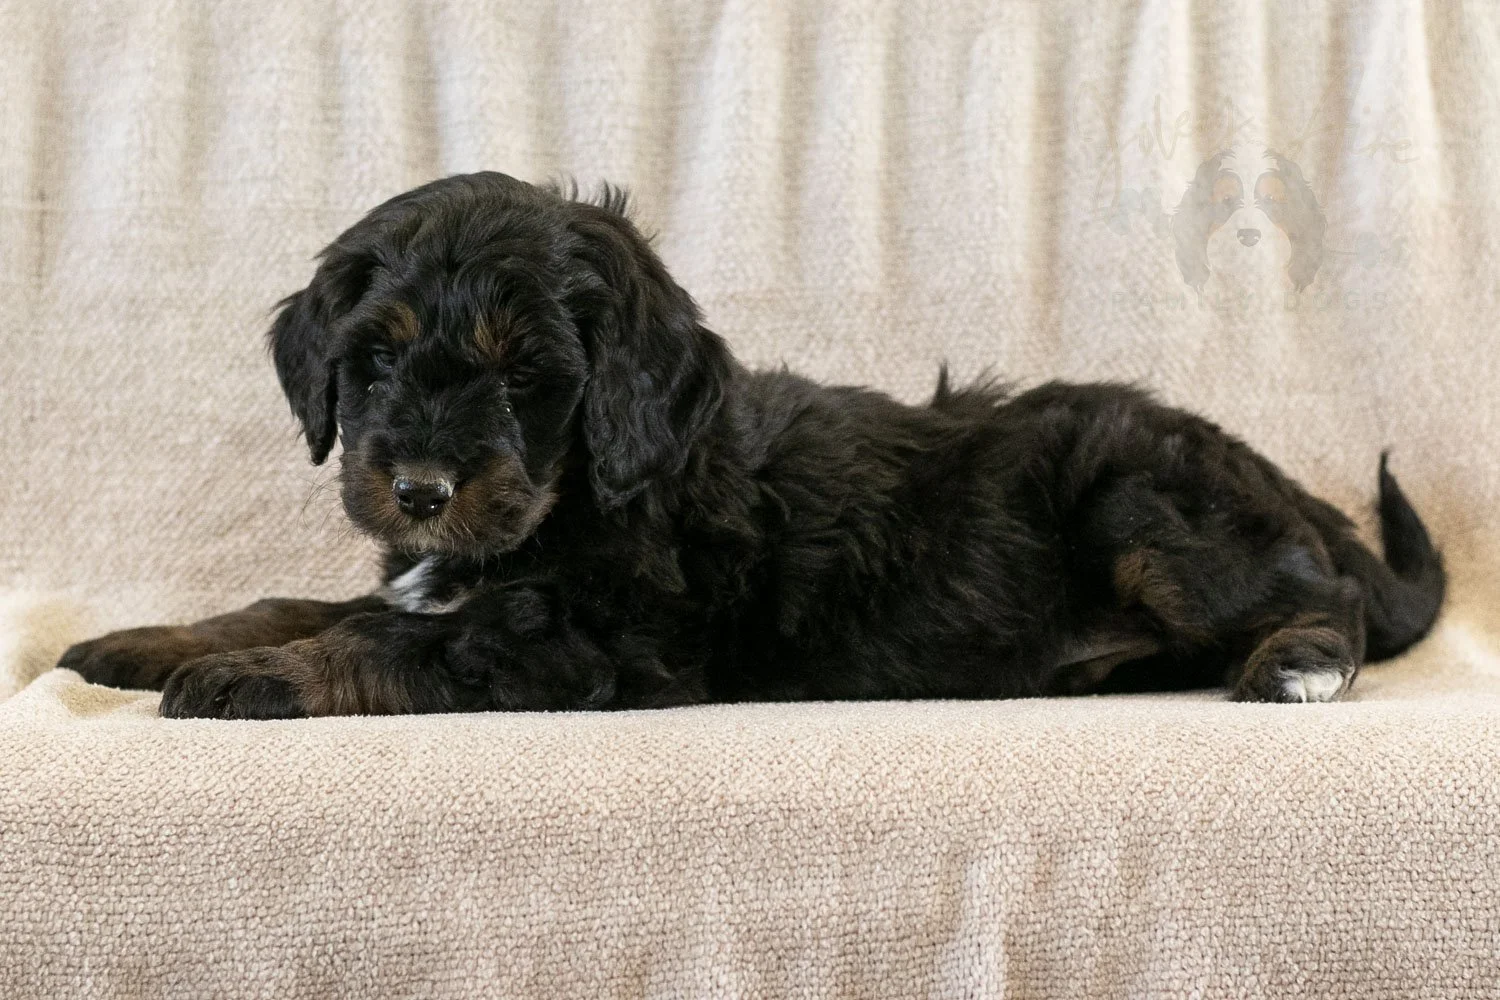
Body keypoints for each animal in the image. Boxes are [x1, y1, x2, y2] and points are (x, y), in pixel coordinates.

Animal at [58, 172, 1444, 719]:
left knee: (1329, 603)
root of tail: (1290, 487)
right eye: (379, 356)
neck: (584, 493)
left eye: (527, 377)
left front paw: (254, 678)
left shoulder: (587, 644)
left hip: (1146, 512)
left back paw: (1298, 662)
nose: (419, 488)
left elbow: (398, 638)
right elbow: (301, 597)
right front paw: (150, 640)